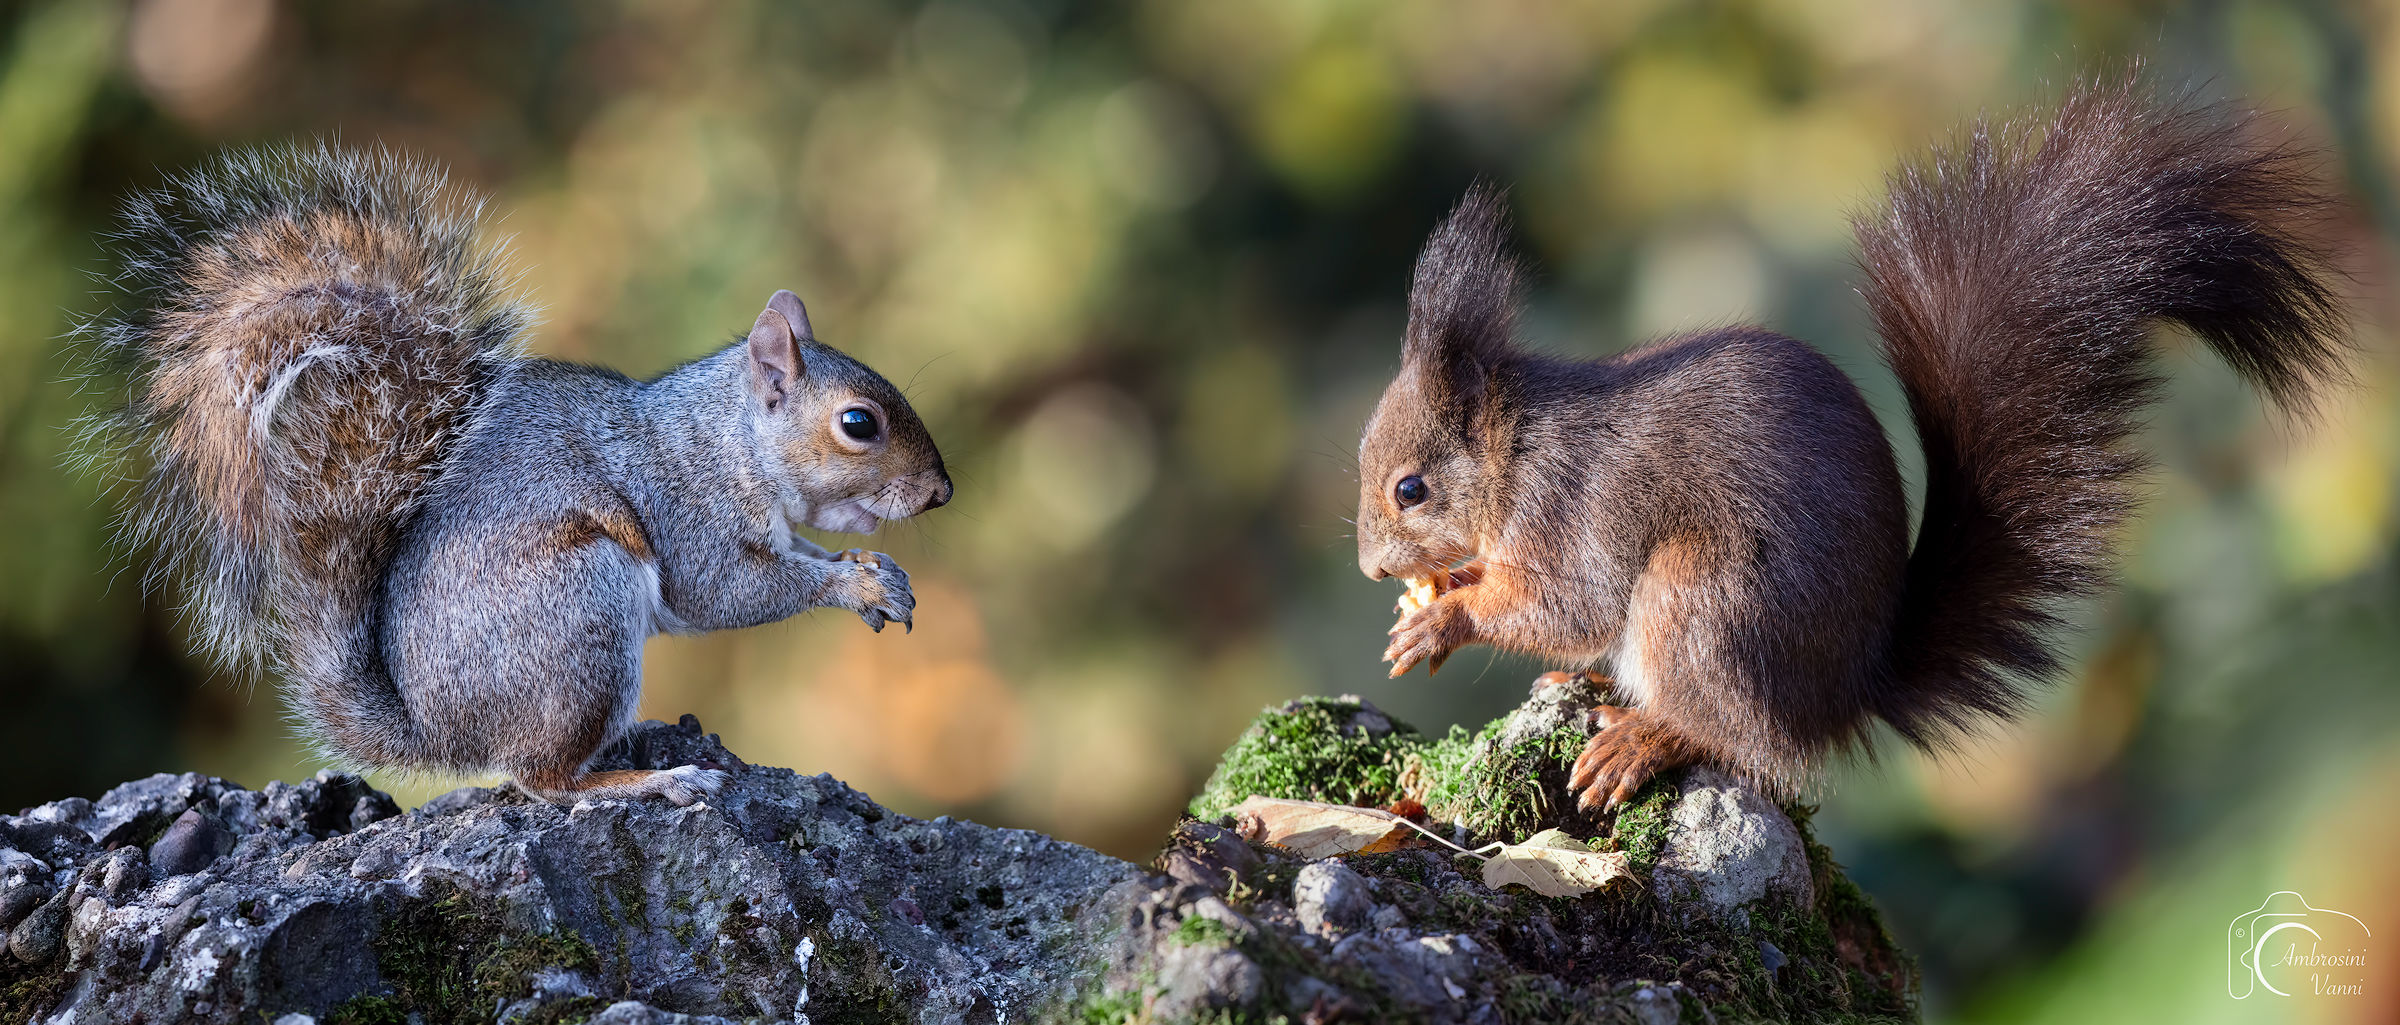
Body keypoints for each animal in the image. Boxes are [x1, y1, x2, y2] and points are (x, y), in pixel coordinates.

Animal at [77, 144, 952, 806]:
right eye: (858, 424)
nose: (941, 491)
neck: (727, 439)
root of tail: (438, 730)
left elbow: (797, 555)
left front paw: (880, 574)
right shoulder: (689, 511)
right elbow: (732, 590)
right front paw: (851, 583)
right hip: (578, 614)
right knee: (542, 778)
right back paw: (645, 778)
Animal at [1357, 76, 2352, 812]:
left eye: (1411, 488)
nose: (1371, 570)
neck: (1515, 453)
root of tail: (1846, 688)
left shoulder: (1572, 510)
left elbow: (1569, 603)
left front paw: (1444, 618)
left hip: (1706, 603)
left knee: (1750, 743)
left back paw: (1648, 736)